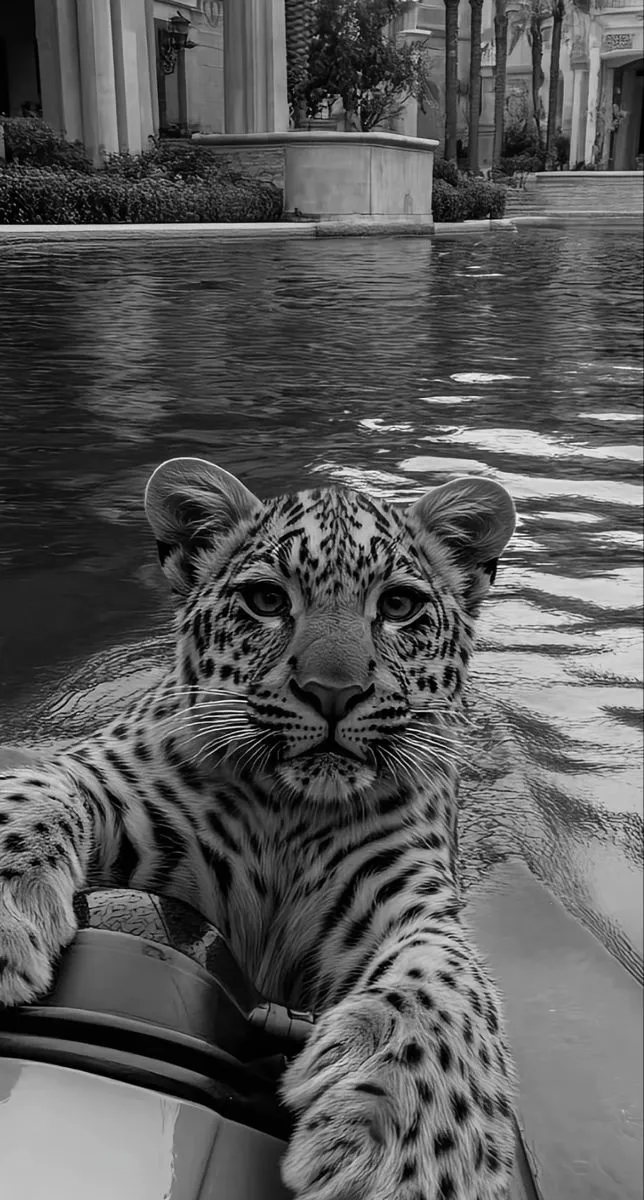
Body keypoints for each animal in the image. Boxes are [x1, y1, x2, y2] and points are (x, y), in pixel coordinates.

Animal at [0, 456, 518, 1200]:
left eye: (398, 607)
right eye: (268, 601)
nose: (334, 692)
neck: (289, 814)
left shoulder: (405, 897)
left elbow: (449, 977)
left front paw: (415, 1148)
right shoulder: (108, 776)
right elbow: (37, 787)